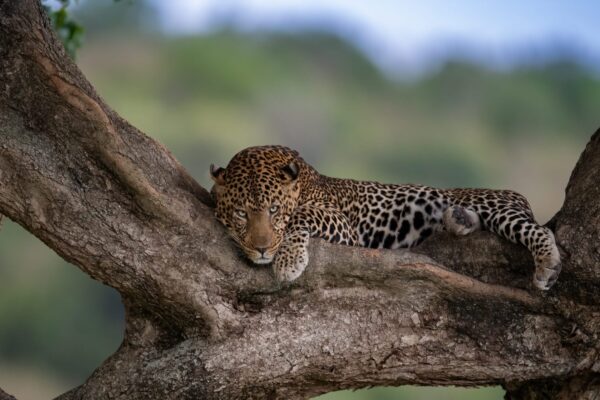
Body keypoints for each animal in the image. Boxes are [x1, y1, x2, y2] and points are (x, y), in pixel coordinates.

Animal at [211, 145, 564, 290]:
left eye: (273, 210)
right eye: (242, 213)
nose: (261, 249)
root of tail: (516, 194)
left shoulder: (344, 228)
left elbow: (301, 215)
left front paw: (288, 261)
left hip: (496, 205)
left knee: (538, 230)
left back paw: (548, 265)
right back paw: (459, 220)